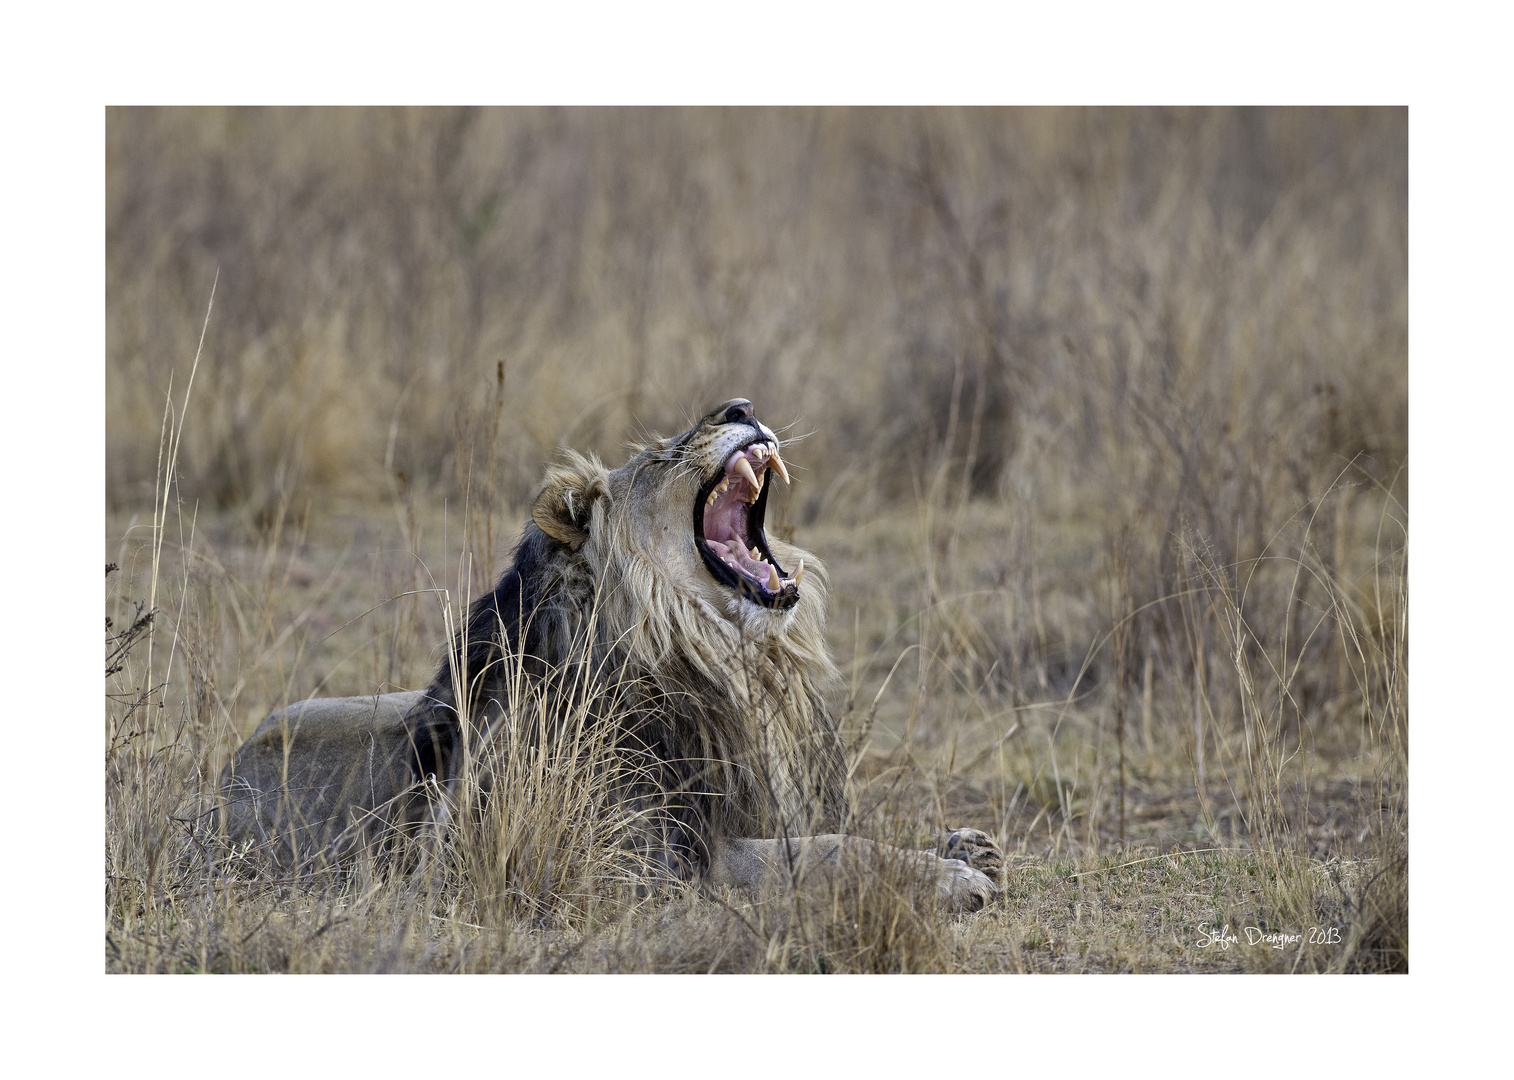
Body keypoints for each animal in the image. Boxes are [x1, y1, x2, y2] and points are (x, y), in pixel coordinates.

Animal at [219, 399, 1005, 902]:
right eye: (662, 456)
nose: (740, 403)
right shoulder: (657, 856)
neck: (725, 659)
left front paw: (963, 845)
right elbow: (821, 851)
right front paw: (949, 877)